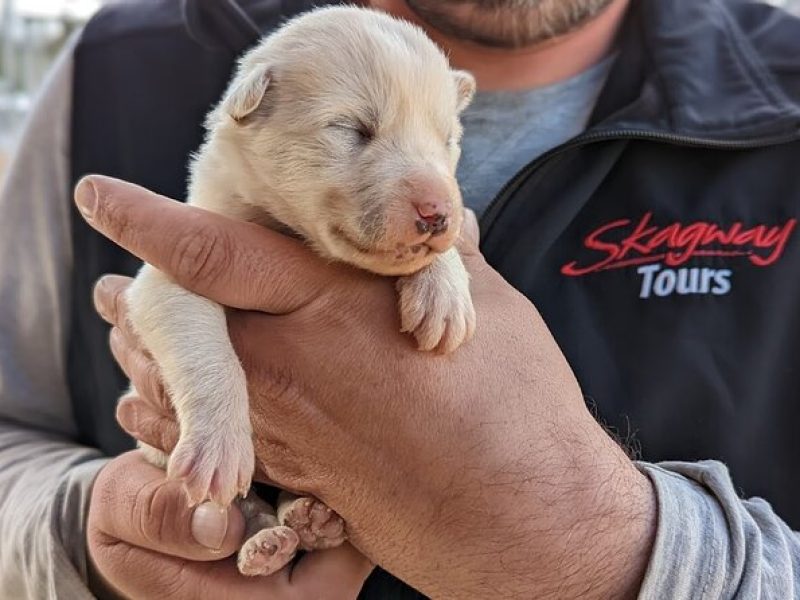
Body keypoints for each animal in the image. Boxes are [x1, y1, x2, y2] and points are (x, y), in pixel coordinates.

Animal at [126, 5, 476, 576]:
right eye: (353, 128)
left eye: (447, 139)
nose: (436, 212)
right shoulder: (168, 268)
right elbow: (203, 345)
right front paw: (219, 448)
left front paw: (444, 295)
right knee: (249, 504)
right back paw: (264, 541)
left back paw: (309, 520)